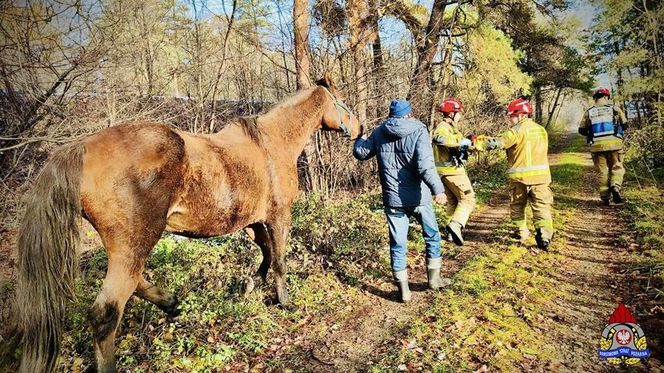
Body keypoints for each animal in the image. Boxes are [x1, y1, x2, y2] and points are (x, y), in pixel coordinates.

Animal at [14, 74, 358, 370]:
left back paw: (172, 303)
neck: (270, 144)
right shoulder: (278, 216)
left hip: (127, 246)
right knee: (106, 312)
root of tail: (81, 147)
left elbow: (265, 252)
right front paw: (284, 301)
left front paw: (249, 284)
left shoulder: (254, 221)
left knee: (134, 284)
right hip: (136, 242)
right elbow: (279, 259)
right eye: (342, 100)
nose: (360, 128)